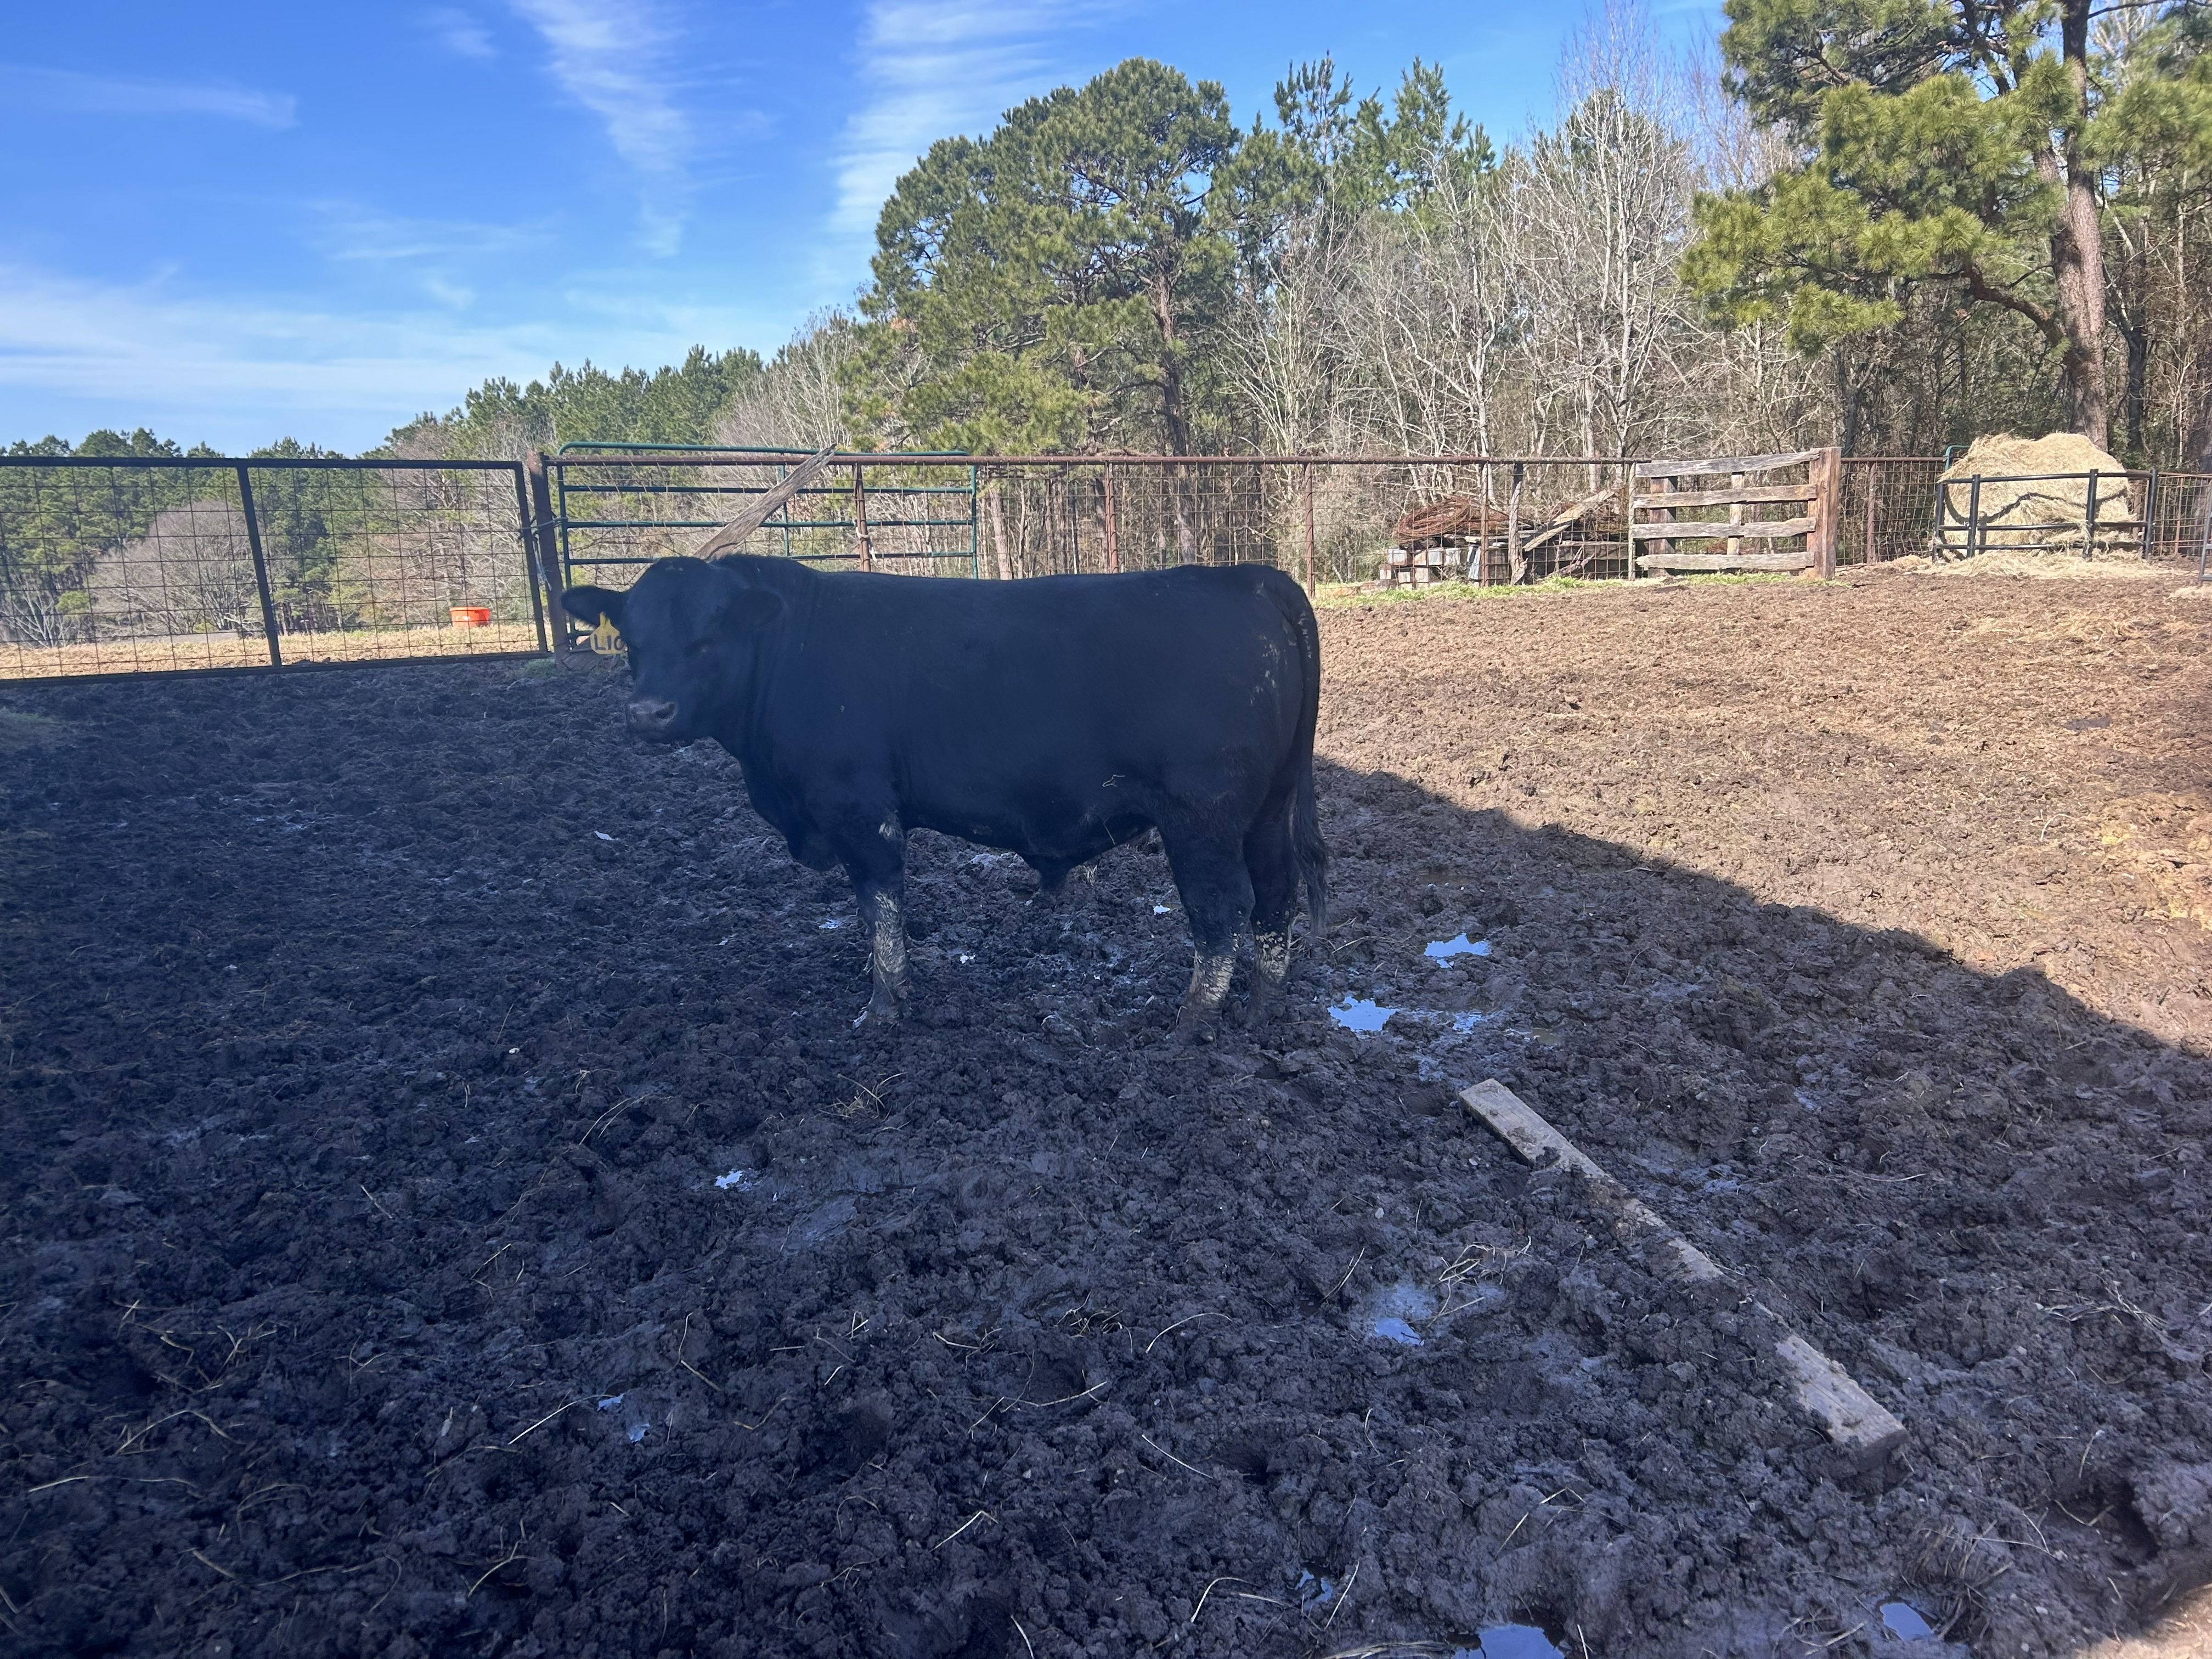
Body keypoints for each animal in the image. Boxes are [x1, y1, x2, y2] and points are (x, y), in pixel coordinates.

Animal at [558, 554, 1327, 1036]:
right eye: (631, 639)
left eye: (709, 636)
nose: (648, 713)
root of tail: (1248, 577)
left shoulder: (860, 809)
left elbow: (881, 908)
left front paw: (883, 1007)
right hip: (1269, 810)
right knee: (1276, 899)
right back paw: (1262, 1011)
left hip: (1202, 818)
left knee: (1220, 918)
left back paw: (1189, 1026)